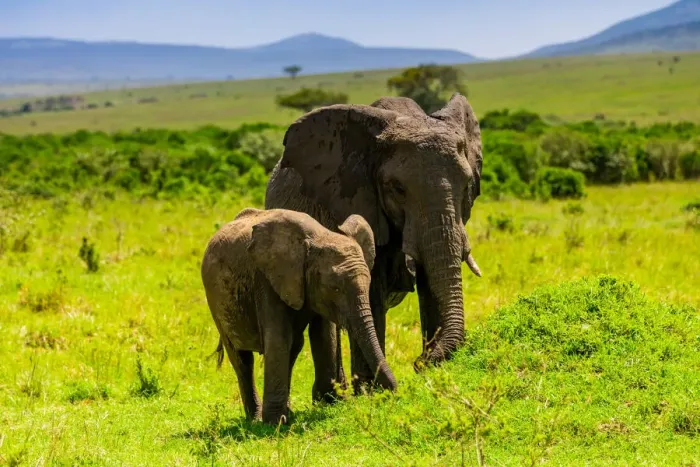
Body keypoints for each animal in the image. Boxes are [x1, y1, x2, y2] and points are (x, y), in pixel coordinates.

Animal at [201, 207, 397, 425]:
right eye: (335, 288)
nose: (389, 394)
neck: (318, 237)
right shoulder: (267, 279)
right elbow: (278, 338)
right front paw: (274, 423)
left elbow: (324, 336)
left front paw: (329, 404)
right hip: (216, 302)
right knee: (242, 358)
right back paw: (256, 418)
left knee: (293, 348)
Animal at [265, 93, 482, 396]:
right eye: (397, 188)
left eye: (467, 185)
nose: (420, 362)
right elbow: (372, 290)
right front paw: (371, 392)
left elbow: (431, 282)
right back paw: (334, 395)